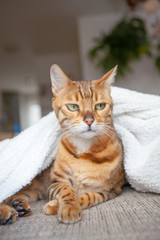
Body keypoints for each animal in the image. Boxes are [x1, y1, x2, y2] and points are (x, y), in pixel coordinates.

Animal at [0, 64, 124, 225]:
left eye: (100, 106)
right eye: (73, 107)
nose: (89, 120)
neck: (84, 151)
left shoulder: (109, 191)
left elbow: (87, 197)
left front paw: (56, 206)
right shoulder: (56, 181)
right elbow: (67, 191)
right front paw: (68, 206)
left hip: (32, 193)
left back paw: (18, 205)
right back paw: (6, 211)